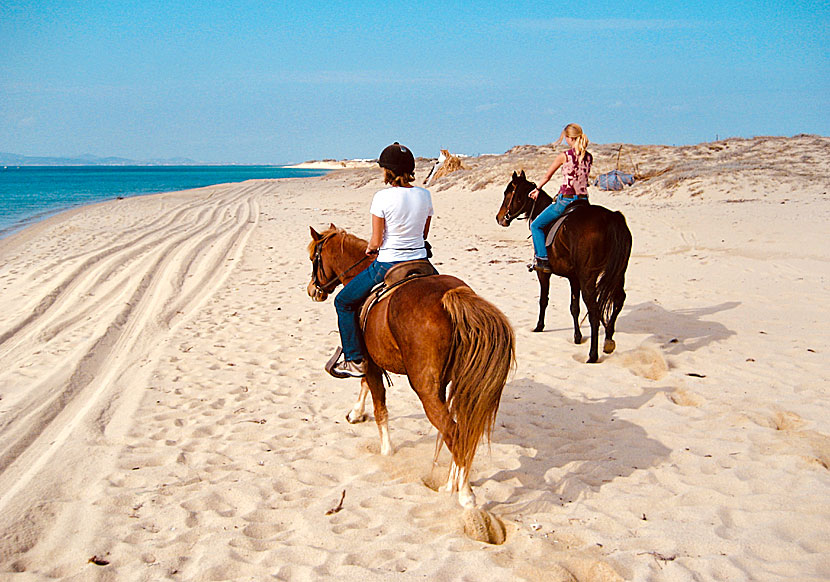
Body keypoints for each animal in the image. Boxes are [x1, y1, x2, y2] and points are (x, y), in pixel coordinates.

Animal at [308, 226, 512, 508]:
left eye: (313, 259)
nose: (312, 289)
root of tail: (450, 297)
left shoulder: (370, 362)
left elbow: (379, 406)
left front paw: (386, 450)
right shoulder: (373, 360)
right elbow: (365, 386)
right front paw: (356, 413)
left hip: (425, 389)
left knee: (453, 432)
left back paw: (465, 494)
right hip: (454, 386)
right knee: (460, 431)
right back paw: (450, 484)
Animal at [498, 169, 632, 362]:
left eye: (507, 193)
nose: (499, 217)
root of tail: (611, 217)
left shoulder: (543, 273)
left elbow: (543, 300)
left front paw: (539, 326)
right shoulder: (574, 278)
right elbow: (574, 307)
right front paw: (577, 337)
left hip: (588, 277)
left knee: (594, 311)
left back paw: (593, 355)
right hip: (618, 273)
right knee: (618, 300)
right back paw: (608, 339)